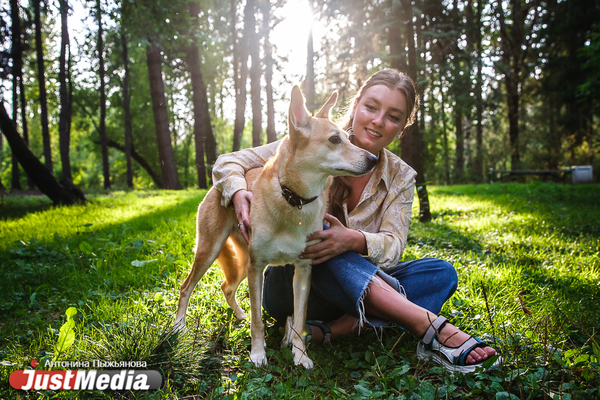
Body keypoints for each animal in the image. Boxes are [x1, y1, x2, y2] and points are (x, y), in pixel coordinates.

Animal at [173, 85, 378, 368]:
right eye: (335, 140)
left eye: (349, 139)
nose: (374, 158)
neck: (294, 201)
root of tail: (217, 188)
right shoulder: (257, 267)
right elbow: (259, 321)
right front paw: (258, 354)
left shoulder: (303, 270)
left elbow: (299, 319)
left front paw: (300, 356)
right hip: (210, 252)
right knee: (186, 288)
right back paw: (178, 326)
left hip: (240, 264)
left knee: (227, 288)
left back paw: (240, 316)